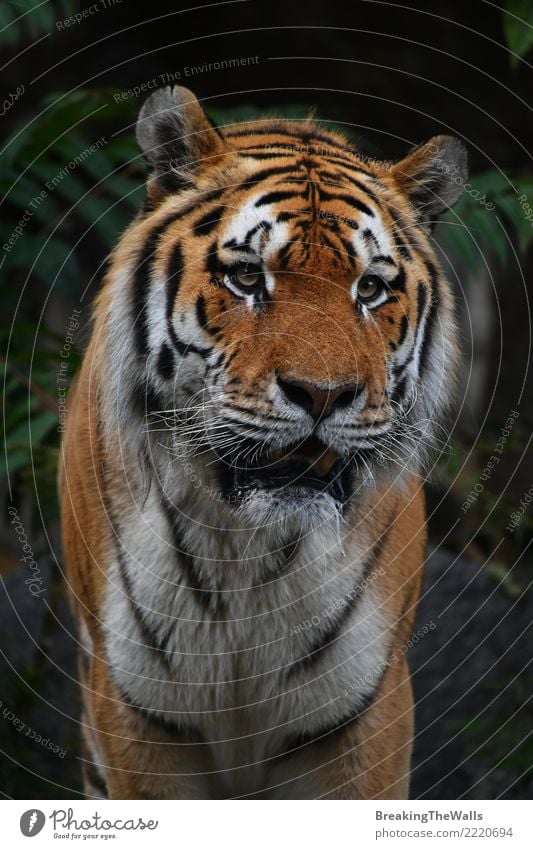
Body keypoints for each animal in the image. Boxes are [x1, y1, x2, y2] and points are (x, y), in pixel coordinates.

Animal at [59, 83, 466, 800]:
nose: (324, 394)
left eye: (369, 288)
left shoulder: (361, 712)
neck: (246, 552)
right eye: (248, 278)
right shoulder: (137, 714)